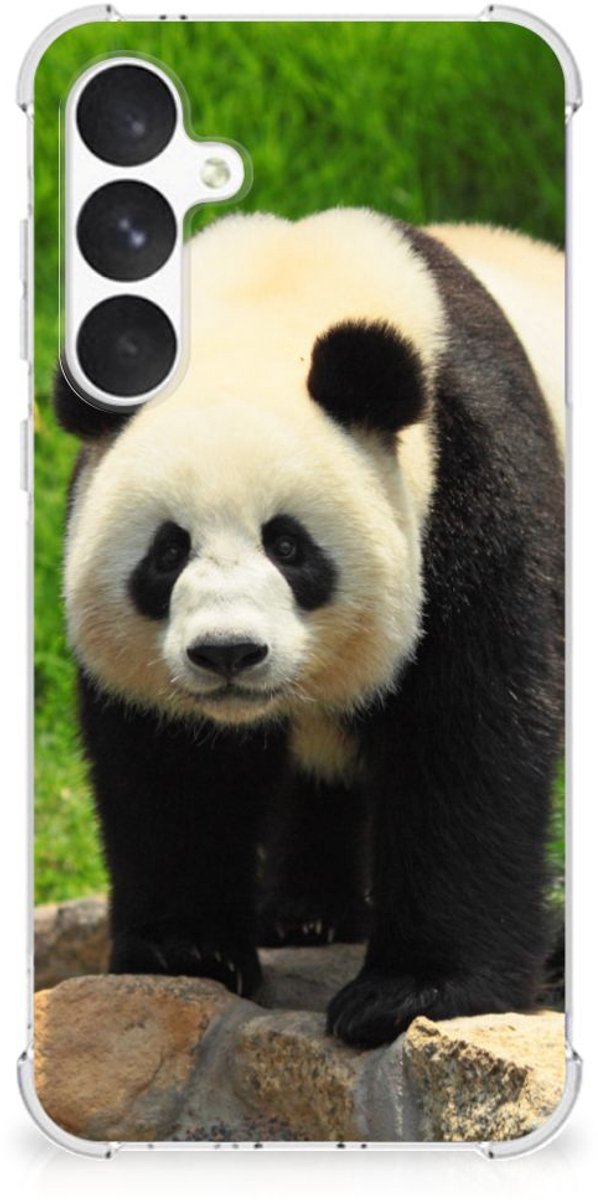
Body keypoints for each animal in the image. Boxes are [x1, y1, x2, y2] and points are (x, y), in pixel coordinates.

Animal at [54, 209, 564, 1049]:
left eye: (288, 546)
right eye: (167, 552)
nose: (228, 653)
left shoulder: (475, 479)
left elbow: (471, 733)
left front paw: (411, 992)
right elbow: (171, 764)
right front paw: (186, 950)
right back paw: (305, 913)